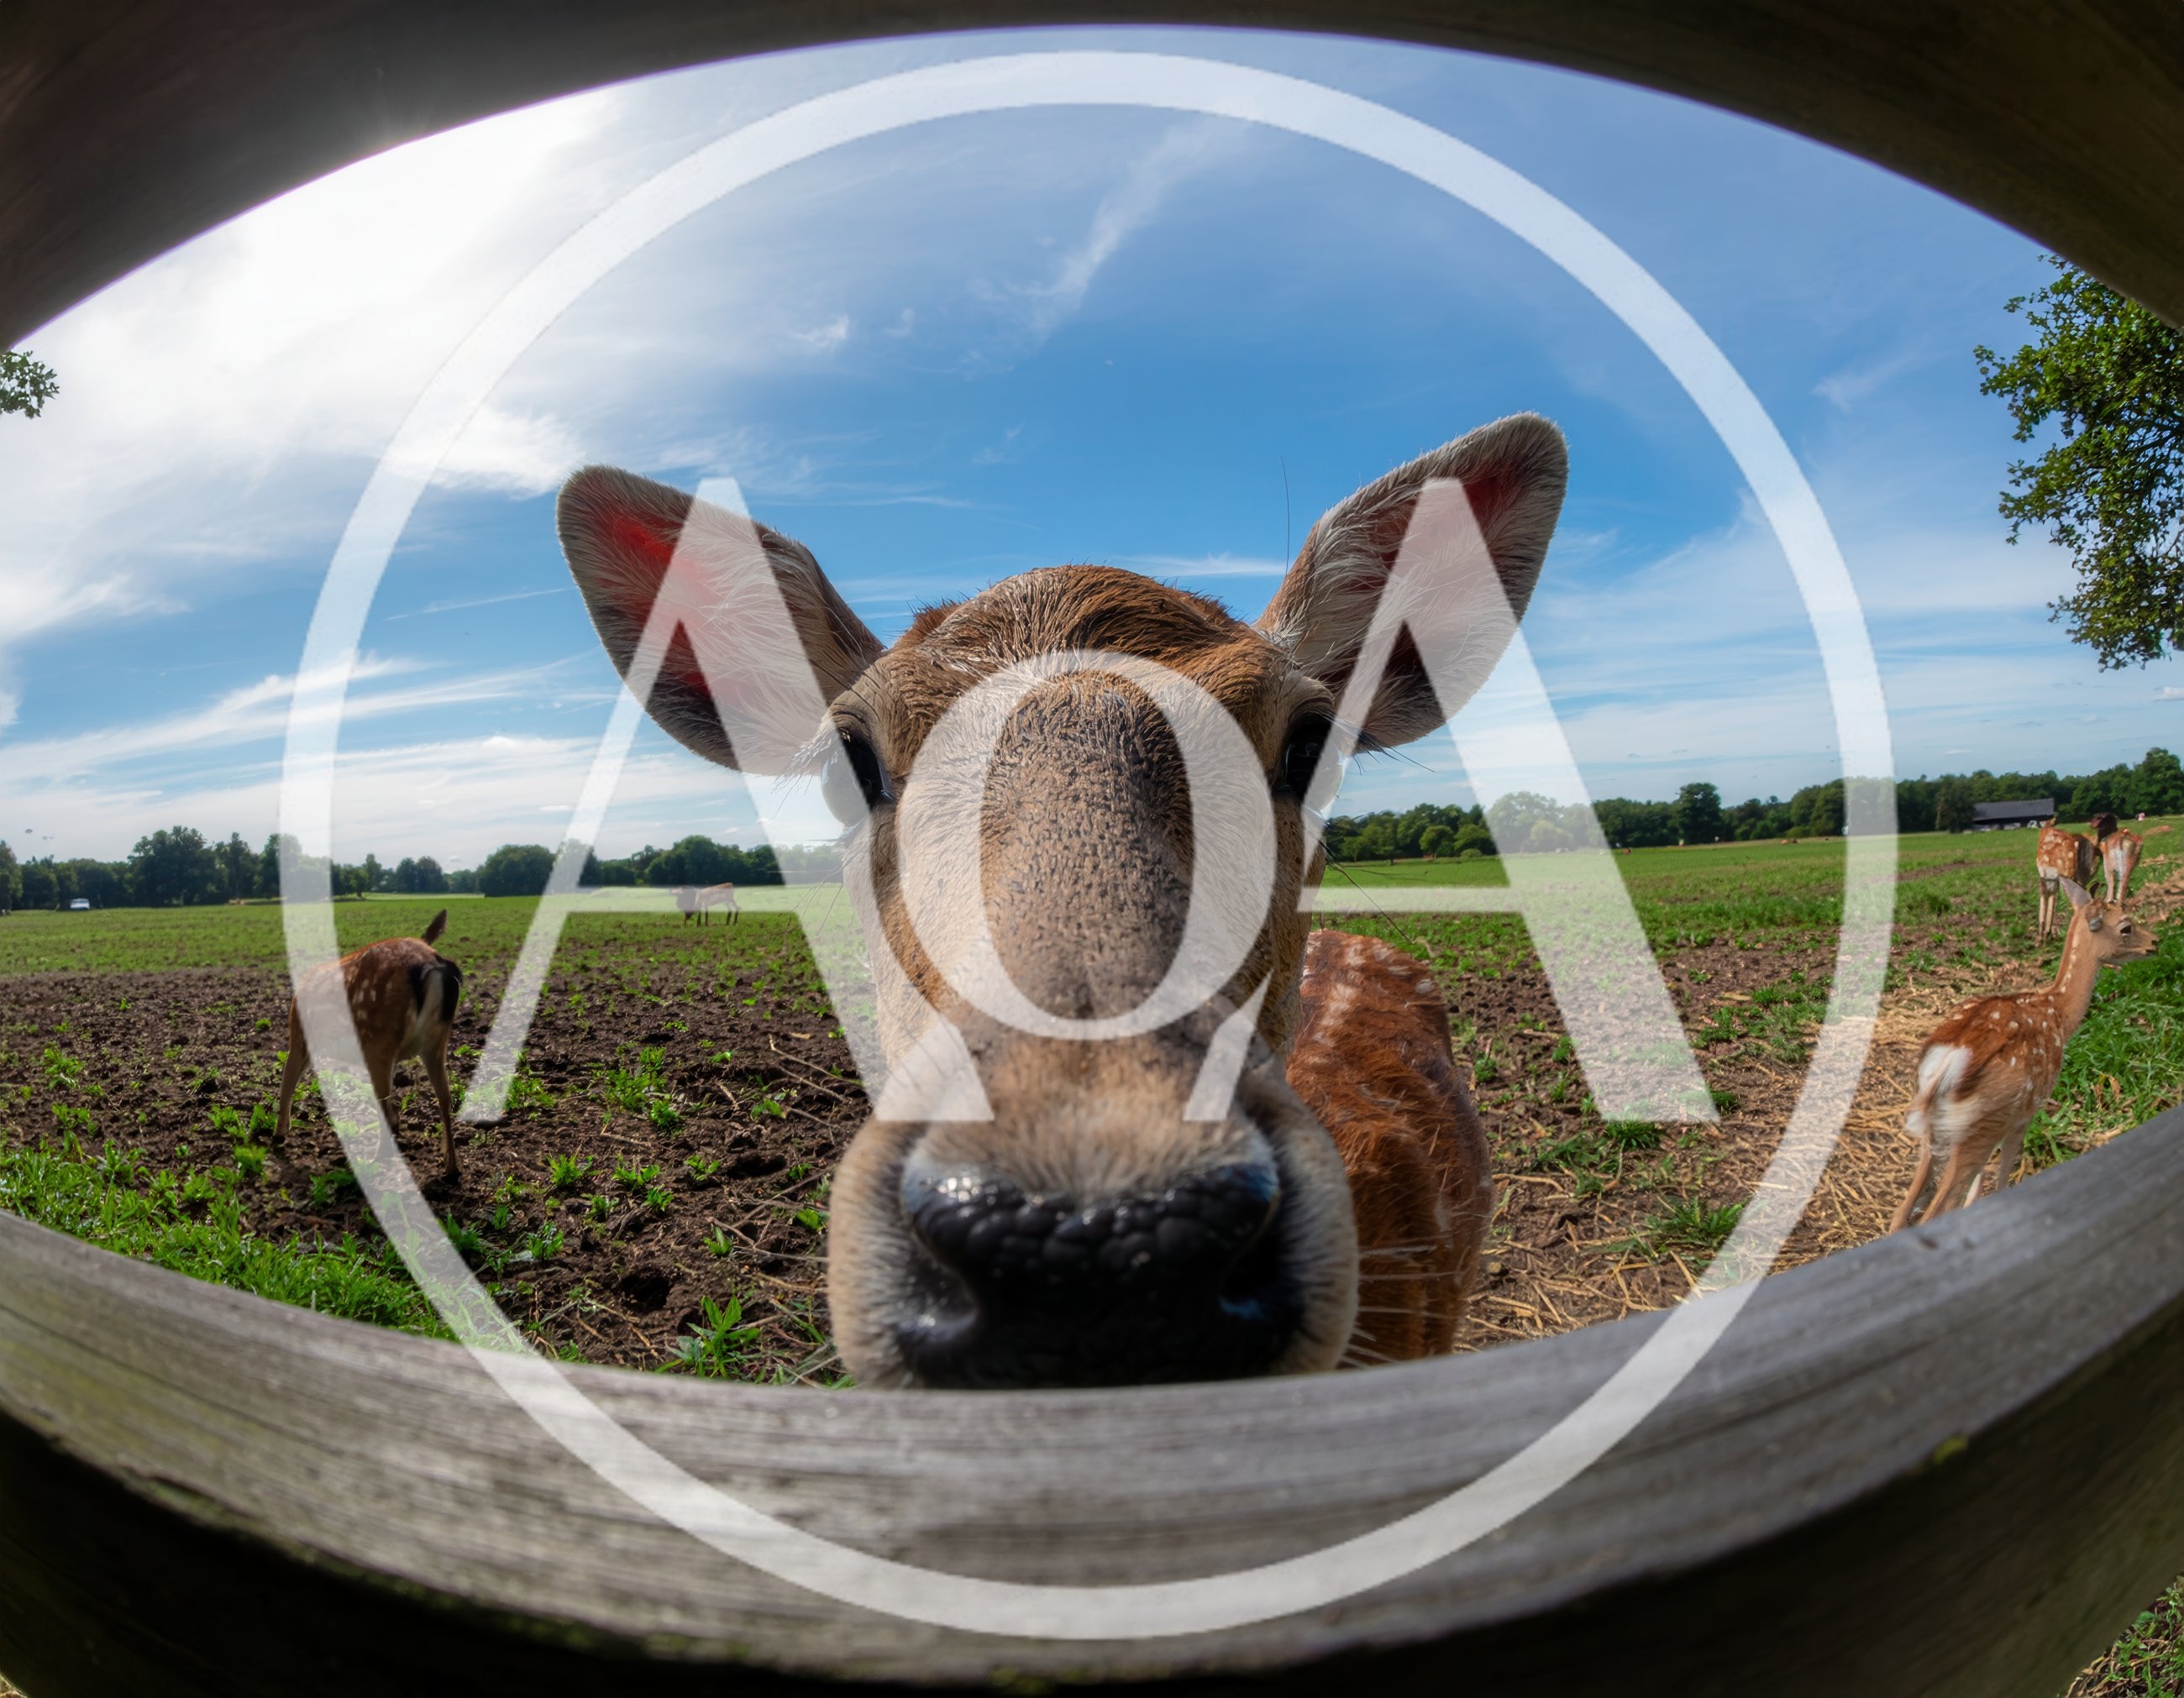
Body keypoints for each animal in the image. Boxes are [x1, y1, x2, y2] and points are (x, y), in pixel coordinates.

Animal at [274, 908, 466, 1181]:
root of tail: (433, 965)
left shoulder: (298, 1037)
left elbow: (287, 1083)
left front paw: (278, 1135)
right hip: (436, 1041)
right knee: (445, 1098)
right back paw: (451, 1168)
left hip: (379, 1039)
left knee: (385, 1105)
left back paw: (374, 1160)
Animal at [1890, 877, 2156, 1231]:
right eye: (2126, 927)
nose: (2155, 942)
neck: (2059, 1016)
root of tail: (1947, 1061)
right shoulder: (2026, 1111)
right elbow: (2003, 1176)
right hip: (1979, 1126)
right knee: (1938, 1209)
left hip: (1932, 1128)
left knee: (1900, 1214)